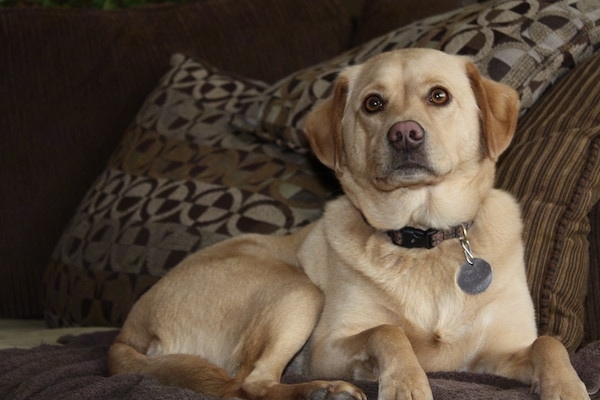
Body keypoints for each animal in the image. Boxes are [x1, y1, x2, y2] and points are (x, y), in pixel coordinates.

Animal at [109, 49, 592, 400]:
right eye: (373, 104)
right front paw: (406, 383)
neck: (422, 239)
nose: (404, 134)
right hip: (299, 290)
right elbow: (388, 331)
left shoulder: (499, 353)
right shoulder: (327, 347)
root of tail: (126, 333)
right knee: (249, 383)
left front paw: (568, 388)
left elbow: (550, 343)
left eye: (439, 96)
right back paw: (324, 391)